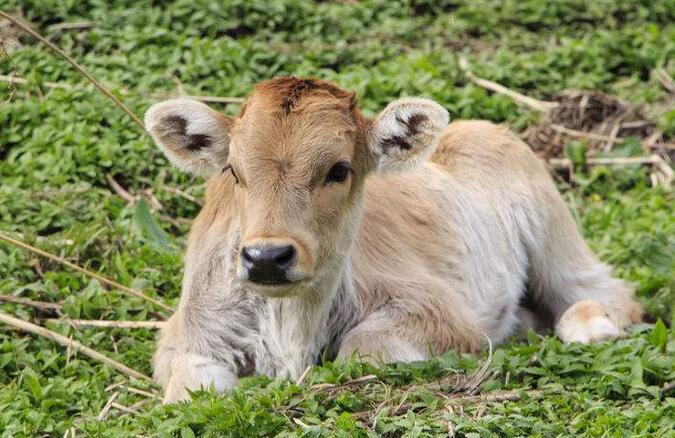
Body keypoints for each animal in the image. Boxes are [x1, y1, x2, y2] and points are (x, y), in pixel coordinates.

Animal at [145, 77, 640, 402]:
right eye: (233, 170)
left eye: (339, 169)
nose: (267, 257)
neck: (292, 329)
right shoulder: (188, 335)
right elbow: (192, 391)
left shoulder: (439, 312)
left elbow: (361, 350)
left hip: (556, 239)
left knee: (605, 291)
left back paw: (590, 325)